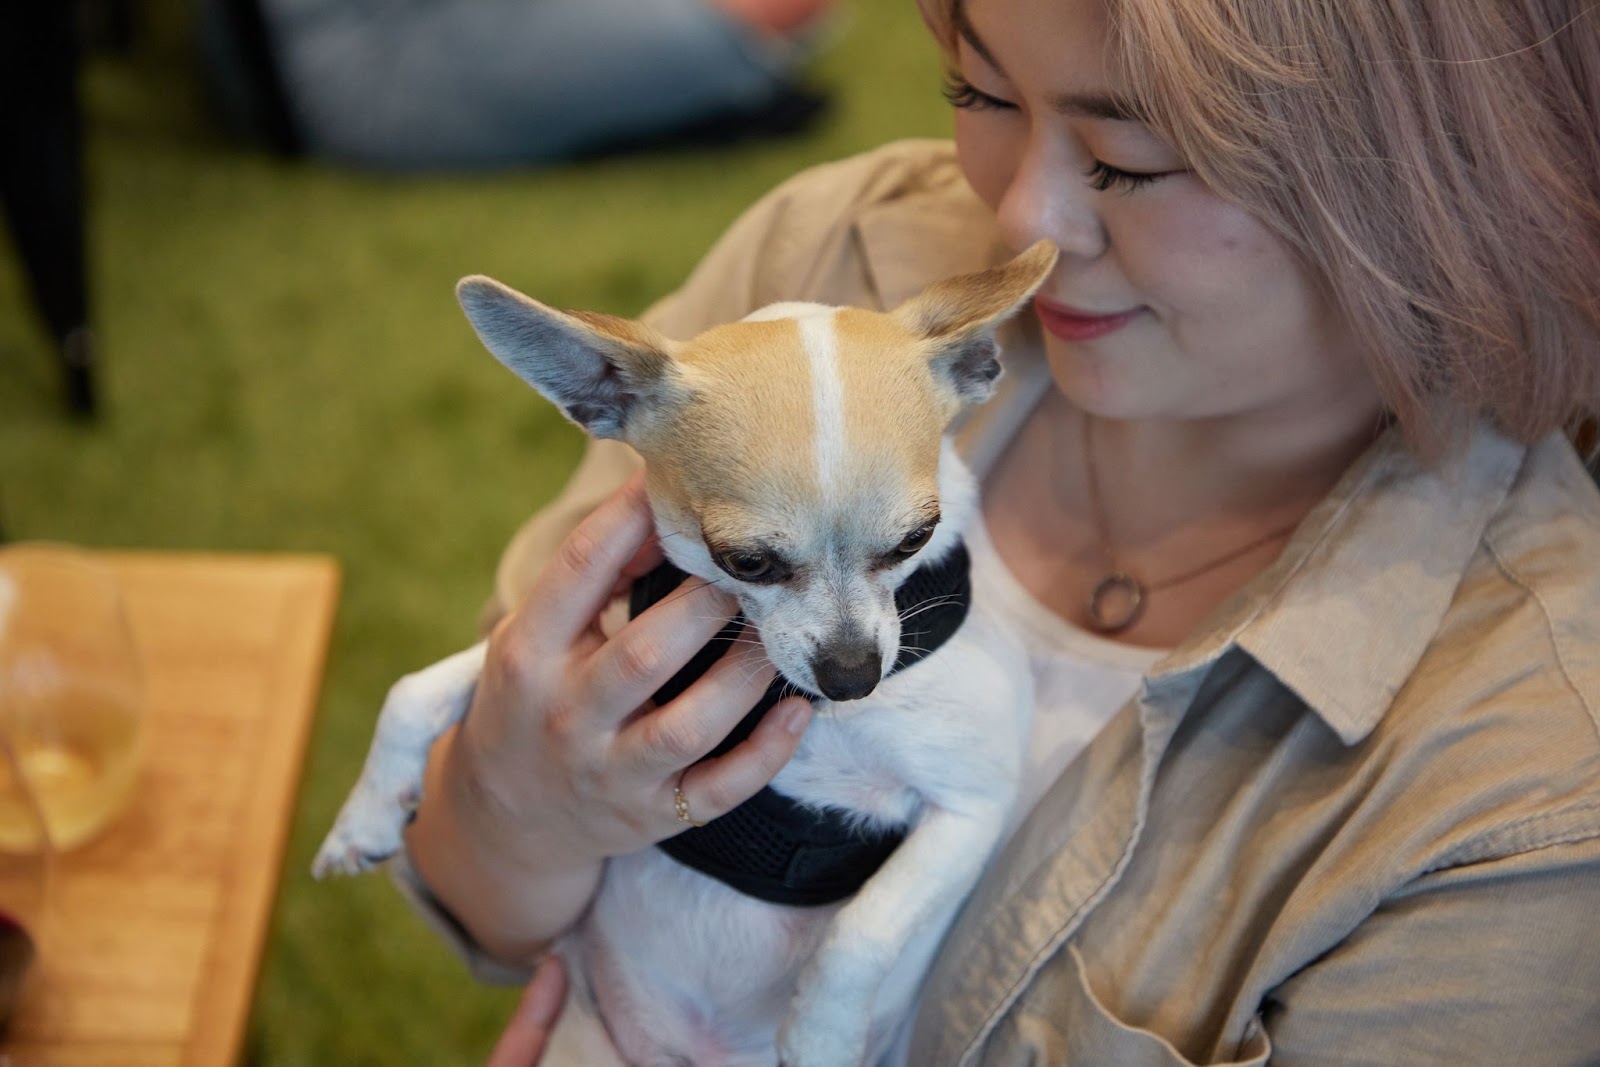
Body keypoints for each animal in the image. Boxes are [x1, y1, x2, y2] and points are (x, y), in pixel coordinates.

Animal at [316, 241, 1056, 1067]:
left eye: (914, 540)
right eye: (746, 562)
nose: (852, 676)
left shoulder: (972, 809)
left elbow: (865, 926)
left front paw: (820, 1033)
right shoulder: (593, 638)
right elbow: (418, 688)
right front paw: (366, 813)